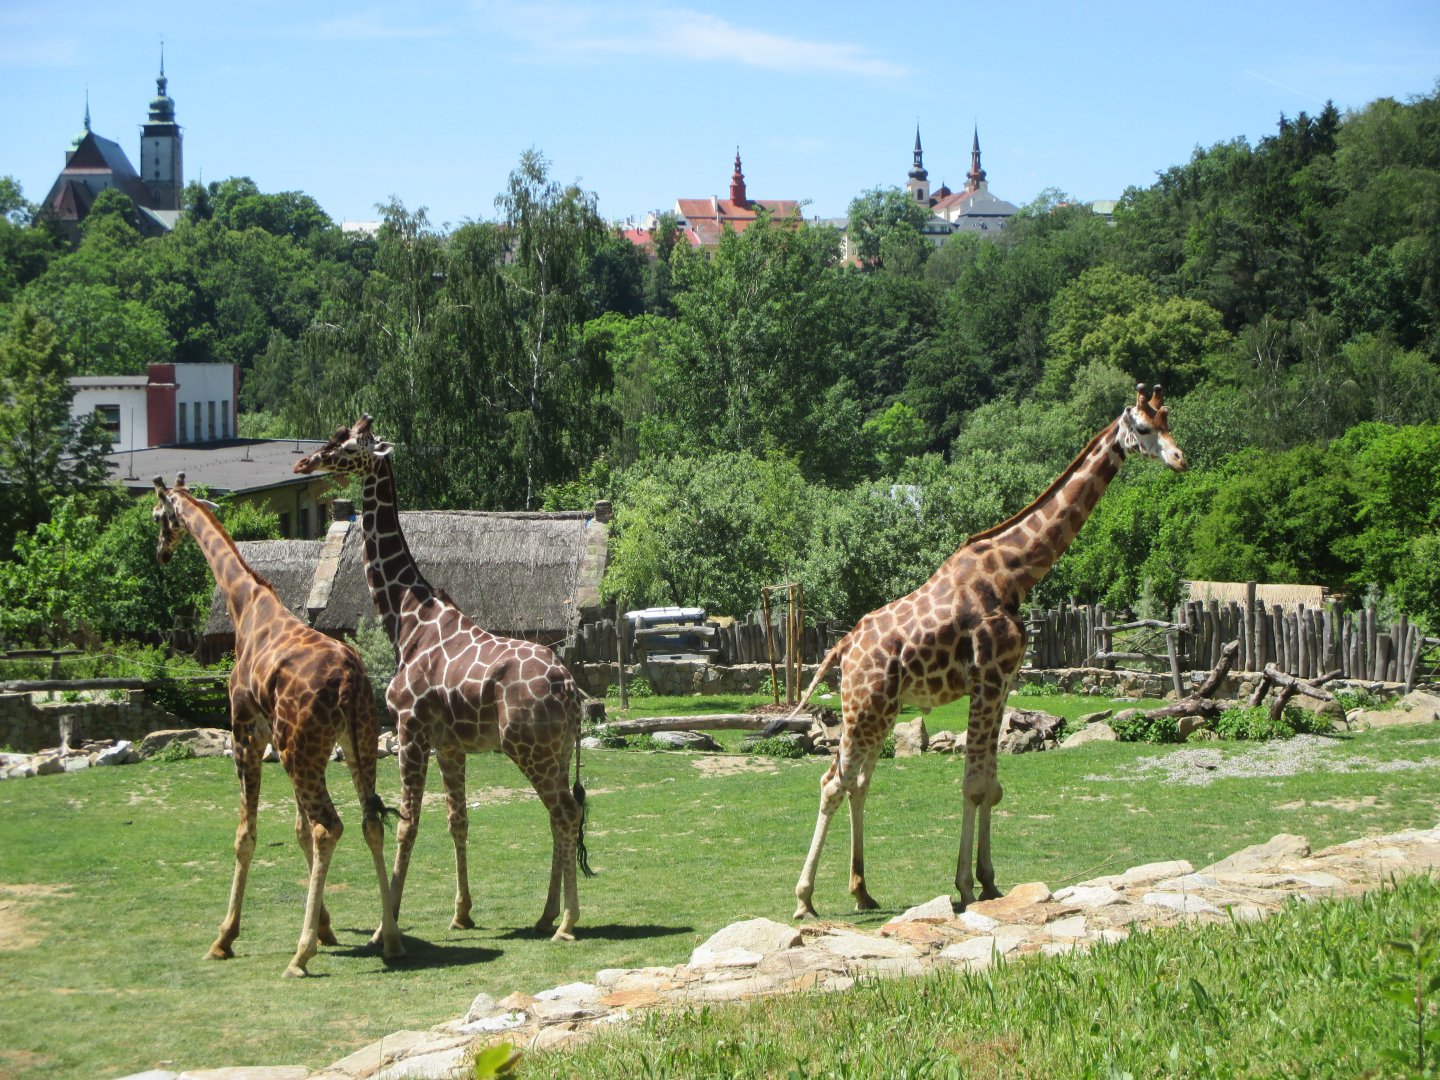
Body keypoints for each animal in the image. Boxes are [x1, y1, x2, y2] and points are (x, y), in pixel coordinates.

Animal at [151, 474, 403, 976]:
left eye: (158, 517)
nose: (160, 553)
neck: (244, 605)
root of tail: (349, 681)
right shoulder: (283, 743)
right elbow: (297, 830)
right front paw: (326, 926)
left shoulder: (247, 733)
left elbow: (246, 835)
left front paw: (224, 937)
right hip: (354, 742)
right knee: (369, 822)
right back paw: (389, 939)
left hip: (301, 749)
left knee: (330, 827)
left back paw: (300, 955)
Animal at [293, 417, 591, 942]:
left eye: (348, 445)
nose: (306, 462)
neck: (405, 619)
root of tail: (572, 690)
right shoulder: (450, 744)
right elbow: (458, 820)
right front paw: (461, 912)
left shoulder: (410, 727)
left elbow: (408, 822)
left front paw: (383, 927)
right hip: (554, 751)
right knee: (558, 817)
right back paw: (545, 914)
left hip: (528, 747)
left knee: (566, 813)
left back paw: (567, 923)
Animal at [778, 384, 1186, 918]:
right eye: (1141, 427)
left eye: (1168, 420)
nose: (1180, 459)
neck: (1014, 573)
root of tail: (845, 645)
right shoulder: (988, 677)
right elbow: (973, 785)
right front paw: (966, 887)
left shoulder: (1005, 680)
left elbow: (991, 786)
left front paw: (989, 882)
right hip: (864, 706)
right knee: (833, 782)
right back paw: (805, 901)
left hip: (880, 710)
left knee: (858, 782)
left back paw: (863, 891)